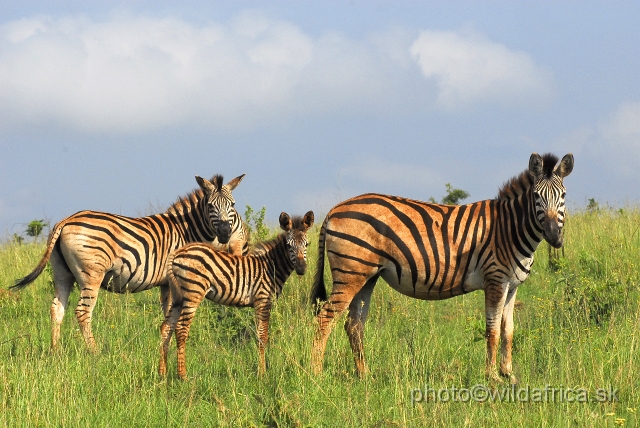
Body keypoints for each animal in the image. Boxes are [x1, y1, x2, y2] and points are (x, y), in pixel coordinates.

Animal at [11, 174, 250, 352]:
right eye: (210, 206)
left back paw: (55, 351)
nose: (225, 232)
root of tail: (66, 220)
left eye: (232, 205)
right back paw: (94, 352)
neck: (187, 230)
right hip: (91, 274)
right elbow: (174, 315)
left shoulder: (166, 283)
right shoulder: (177, 280)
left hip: (63, 273)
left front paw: (164, 345)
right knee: (82, 312)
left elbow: (167, 314)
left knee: (56, 308)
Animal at [160, 211, 316, 378]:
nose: (301, 268)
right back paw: (182, 376)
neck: (270, 267)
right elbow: (262, 337)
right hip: (193, 293)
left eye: (307, 244)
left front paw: (261, 371)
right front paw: (262, 374)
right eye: (288, 245)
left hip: (178, 296)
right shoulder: (263, 300)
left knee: (166, 327)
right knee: (181, 328)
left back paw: (162, 374)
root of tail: (176, 253)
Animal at [310, 154, 576, 382]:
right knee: (325, 319)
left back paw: (364, 375)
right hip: (351, 273)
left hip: (366, 276)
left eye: (563, 195)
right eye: (536, 196)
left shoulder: (512, 287)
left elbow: (508, 331)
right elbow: (492, 331)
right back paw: (316, 374)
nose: (555, 237)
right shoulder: (495, 281)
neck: (508, 228)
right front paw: (492, 377)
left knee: (354, 324)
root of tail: (334, 209)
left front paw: (509, 375)